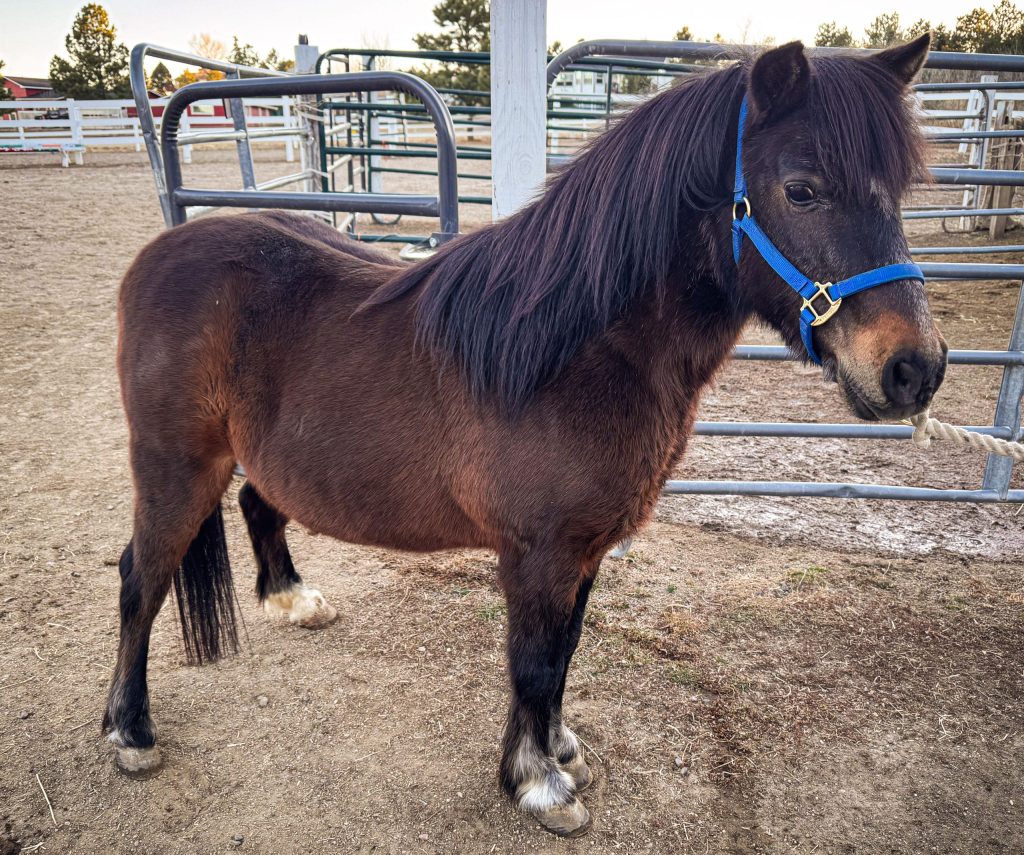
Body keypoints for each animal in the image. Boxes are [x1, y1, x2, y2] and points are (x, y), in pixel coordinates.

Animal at [105, 36, 946, 836]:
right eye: (802, 188)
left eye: (901, 190)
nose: (916, 369)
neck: (575, 350)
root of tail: (157, 256)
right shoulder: (540, 553)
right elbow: (534, 663)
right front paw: (538, 784)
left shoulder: (585, 550)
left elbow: (563, 654)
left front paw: (558, 749)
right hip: (176, 468)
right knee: (141, 577)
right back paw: (130, 731)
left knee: (257, 508)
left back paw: (292, 600)